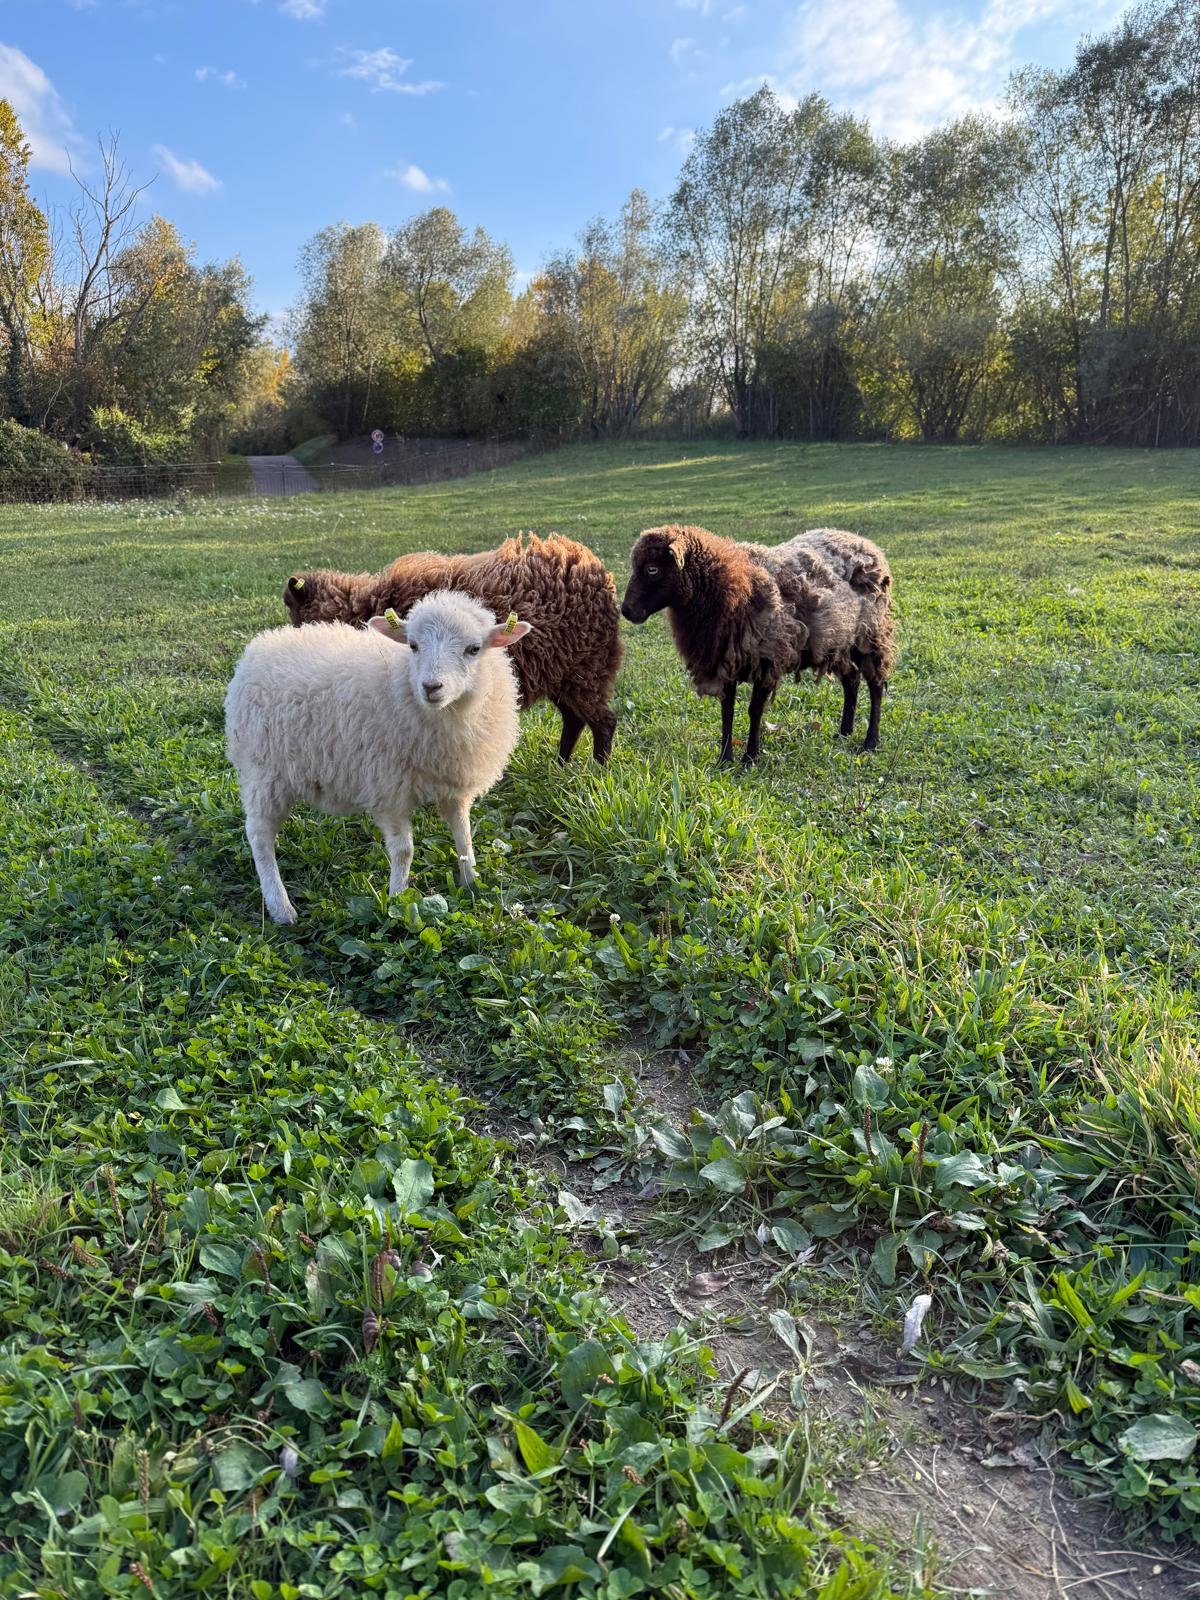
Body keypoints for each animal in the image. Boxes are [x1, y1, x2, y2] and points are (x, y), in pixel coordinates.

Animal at [224, 590, 531, 924]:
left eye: (474, 649)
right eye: (413, 645)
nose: (431, 687)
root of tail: (259, 647)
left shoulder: (455, 785)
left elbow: (464, 837)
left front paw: (471, 882)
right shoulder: (387, 787)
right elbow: (403, 850)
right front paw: (398, 898)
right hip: (263, 770)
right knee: (259, 835)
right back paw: (280, 907)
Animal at [283, 532, 622, 763]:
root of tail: (589, 565)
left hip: (586, 669)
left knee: (603, 721)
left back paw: (597, 770)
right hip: (561, 673)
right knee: (575, 720)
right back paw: (562, 764)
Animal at [619, 524, 896, 763]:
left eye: (652, 569)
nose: (626, 611)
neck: (731, 584)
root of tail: (865, 542)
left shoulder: (767, 660)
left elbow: (754, 710)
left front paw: (750, 757)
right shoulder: (725, 662)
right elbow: (727, 711)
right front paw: (724, 759)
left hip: (870, 636)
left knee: (876, 685)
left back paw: (870, 741)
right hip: (839, 641)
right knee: (851, 680)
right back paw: (844, 731)